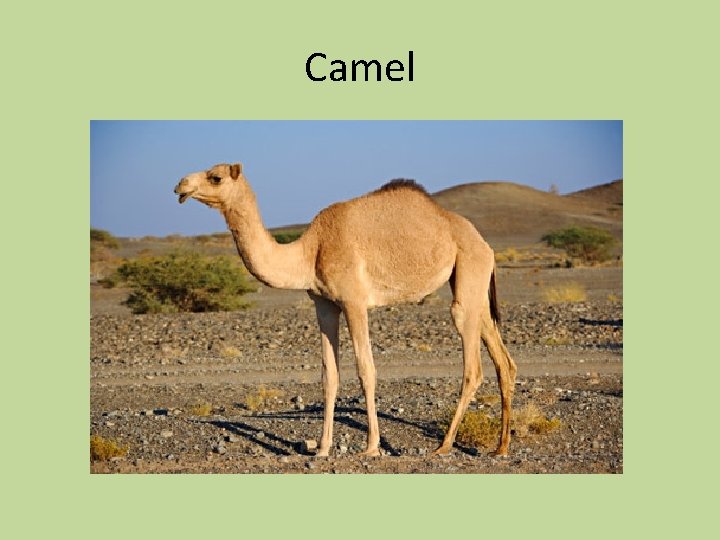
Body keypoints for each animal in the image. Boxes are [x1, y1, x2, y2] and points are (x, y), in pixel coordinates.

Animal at [174, 163, 517, 457]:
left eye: (215, 177)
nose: (180, 185)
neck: (310, 251)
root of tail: (485, 244)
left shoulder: (354, 302)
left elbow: (366, 370)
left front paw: (372, 447)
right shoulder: (324, 305)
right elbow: (329, 375)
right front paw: (323, 448)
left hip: (468, 269)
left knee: (472, 366)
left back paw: (444, 445)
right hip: (472, 284)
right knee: (503, 360)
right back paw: (501, 448)